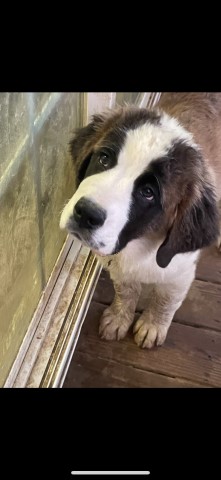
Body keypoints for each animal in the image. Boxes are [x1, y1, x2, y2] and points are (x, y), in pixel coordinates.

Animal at [59, 94, 221, 348]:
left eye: (148, 192)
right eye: (104, 159)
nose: (86, 213)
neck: (139, 240)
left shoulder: (180, 274)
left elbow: (165, 300)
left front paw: (153, 325)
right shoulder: (117, 265)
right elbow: (125, 290)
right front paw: (119, 317)